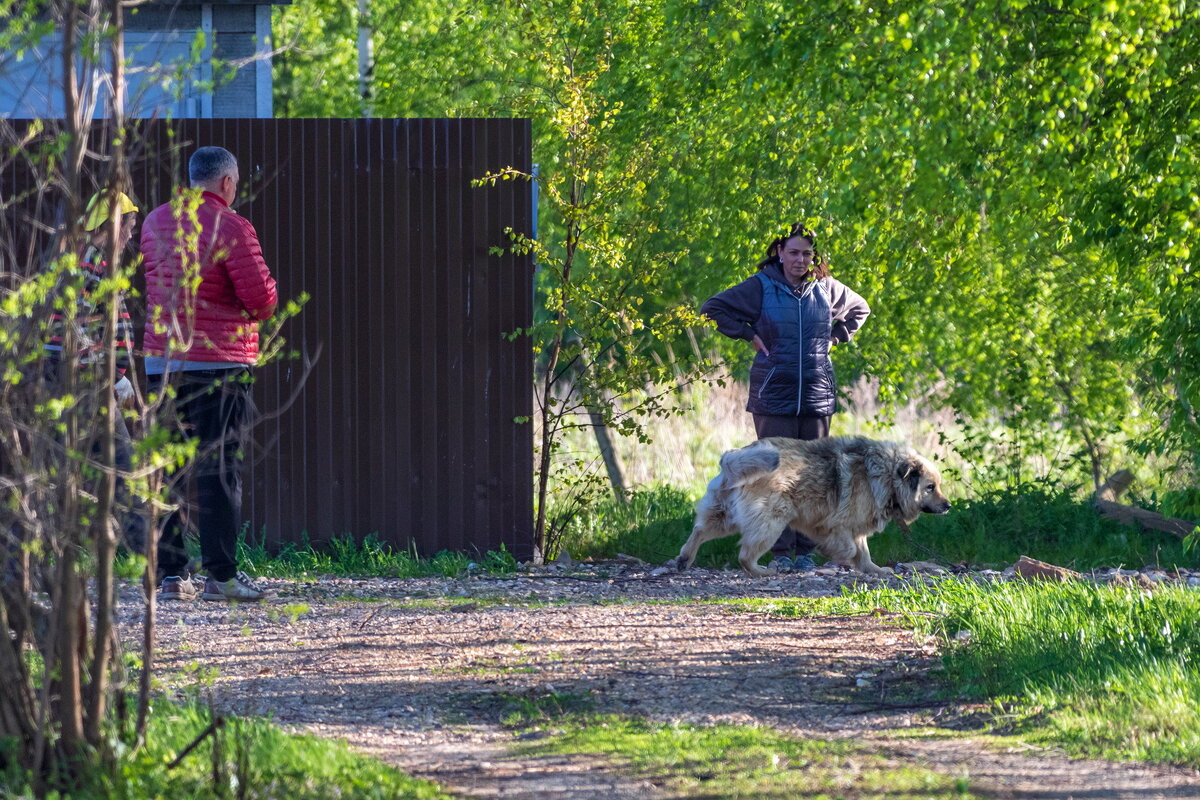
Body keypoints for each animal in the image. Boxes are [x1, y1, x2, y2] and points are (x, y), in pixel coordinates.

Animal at [672, 438, 950, 575]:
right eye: (930, 487)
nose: (948, 505)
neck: (888, 477)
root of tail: (732, 459)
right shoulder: (838, 525)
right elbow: (850, 549)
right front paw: (832, 553)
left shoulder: (855, 527)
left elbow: (864, 552)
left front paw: (875, 570)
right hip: (772, 523)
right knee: (745, 556)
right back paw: (763, 573)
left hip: (724, 517)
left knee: (699, 531)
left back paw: (685, 558)